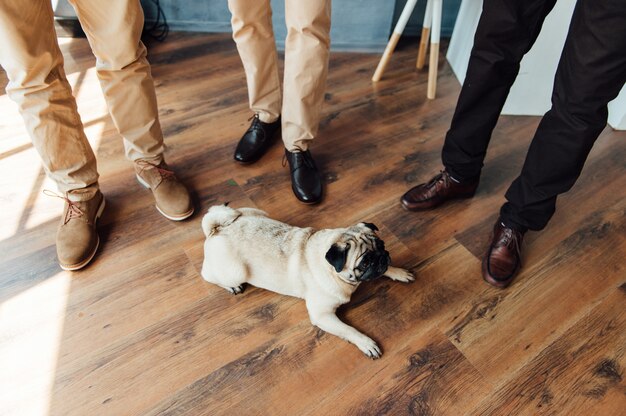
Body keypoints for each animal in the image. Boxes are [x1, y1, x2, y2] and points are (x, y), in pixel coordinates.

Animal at [201, 205, 414, 358]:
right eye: (365, 262)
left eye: (382, 246)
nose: (382, 257)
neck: (334, 272)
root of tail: (218, 228)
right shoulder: (322, 315)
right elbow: (349, 330)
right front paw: (366, 342)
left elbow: (385, 271)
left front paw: (397, 271)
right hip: (235, 271)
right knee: (207, 274)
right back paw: (231, 286)